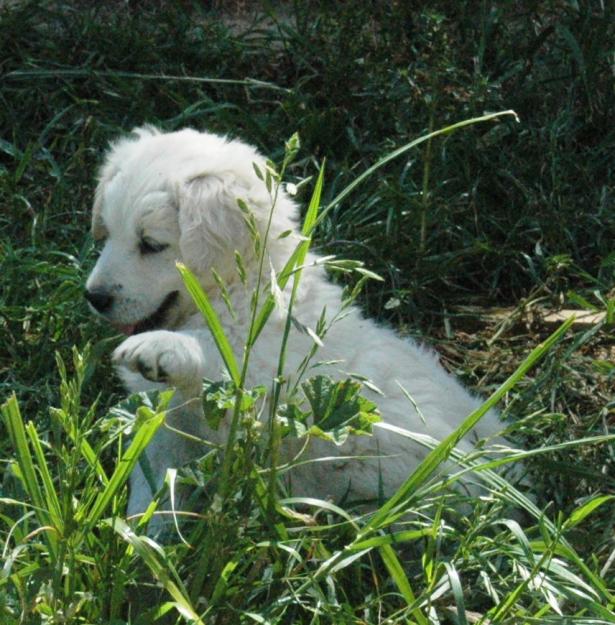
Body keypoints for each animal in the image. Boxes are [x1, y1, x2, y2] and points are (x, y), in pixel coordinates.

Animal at [84, 125, 502, 516]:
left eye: (151, 244)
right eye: (108, 233)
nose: (94, 298)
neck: (238, 288)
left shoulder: (273, 380)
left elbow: (225, 360)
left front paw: (163, 348)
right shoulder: (166, 435)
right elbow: (153, 494)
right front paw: (135, 534)